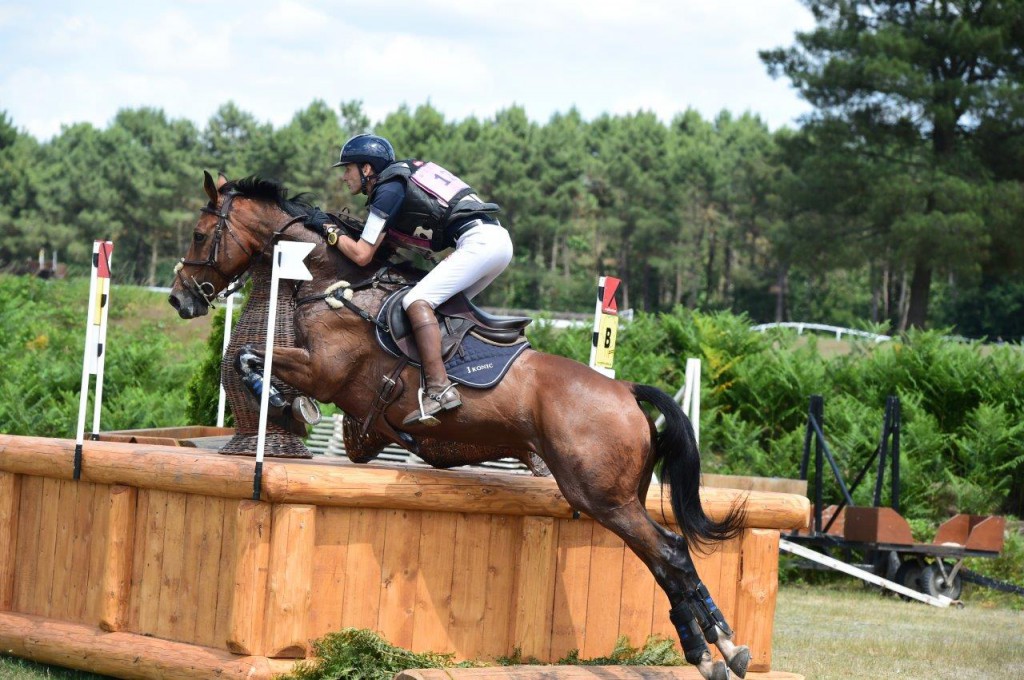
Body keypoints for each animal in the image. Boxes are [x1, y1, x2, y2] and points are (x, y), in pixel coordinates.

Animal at [169, 171, 753, 680]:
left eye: (199, 233)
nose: (180, 297)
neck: (338, 283)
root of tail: (626, 391)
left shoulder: (325, 371)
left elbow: (251, 357)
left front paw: (287, 403)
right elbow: (262, 366)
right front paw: (290, 406)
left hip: (602, 496)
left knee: (670, 552)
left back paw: (715, 650)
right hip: (617, 498)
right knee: (666, 561)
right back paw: (720, 648)